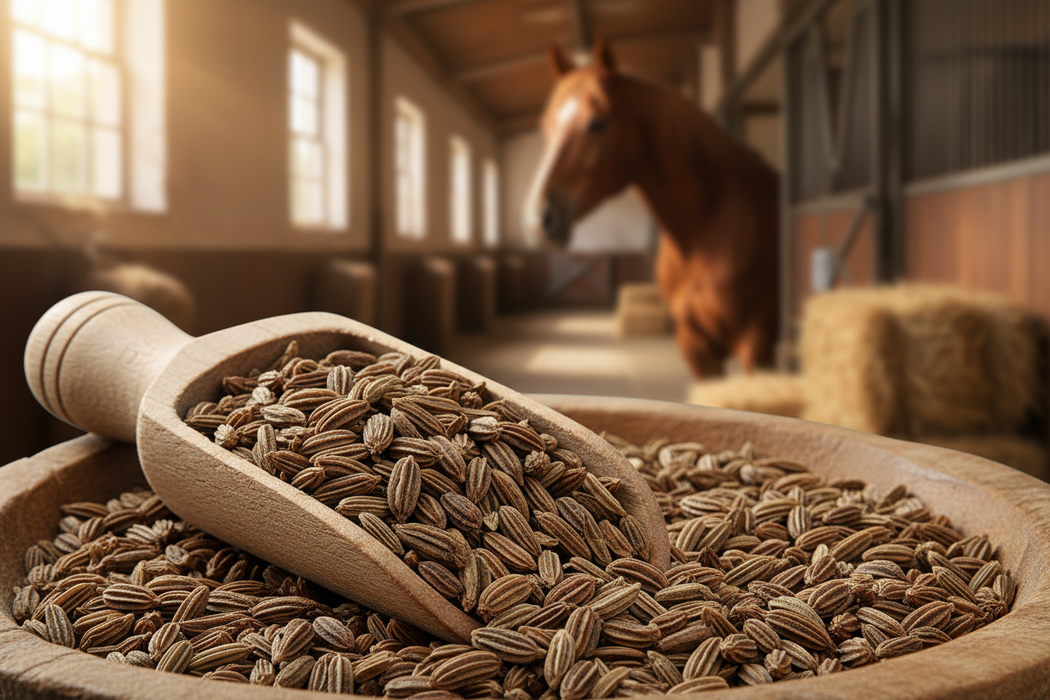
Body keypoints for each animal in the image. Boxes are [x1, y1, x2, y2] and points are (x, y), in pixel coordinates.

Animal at [525, 39, 780, 378]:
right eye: (547, 126)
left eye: (597, 123)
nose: (538, 218)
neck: (709, 225)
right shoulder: (694, 343)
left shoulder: (755, 342)